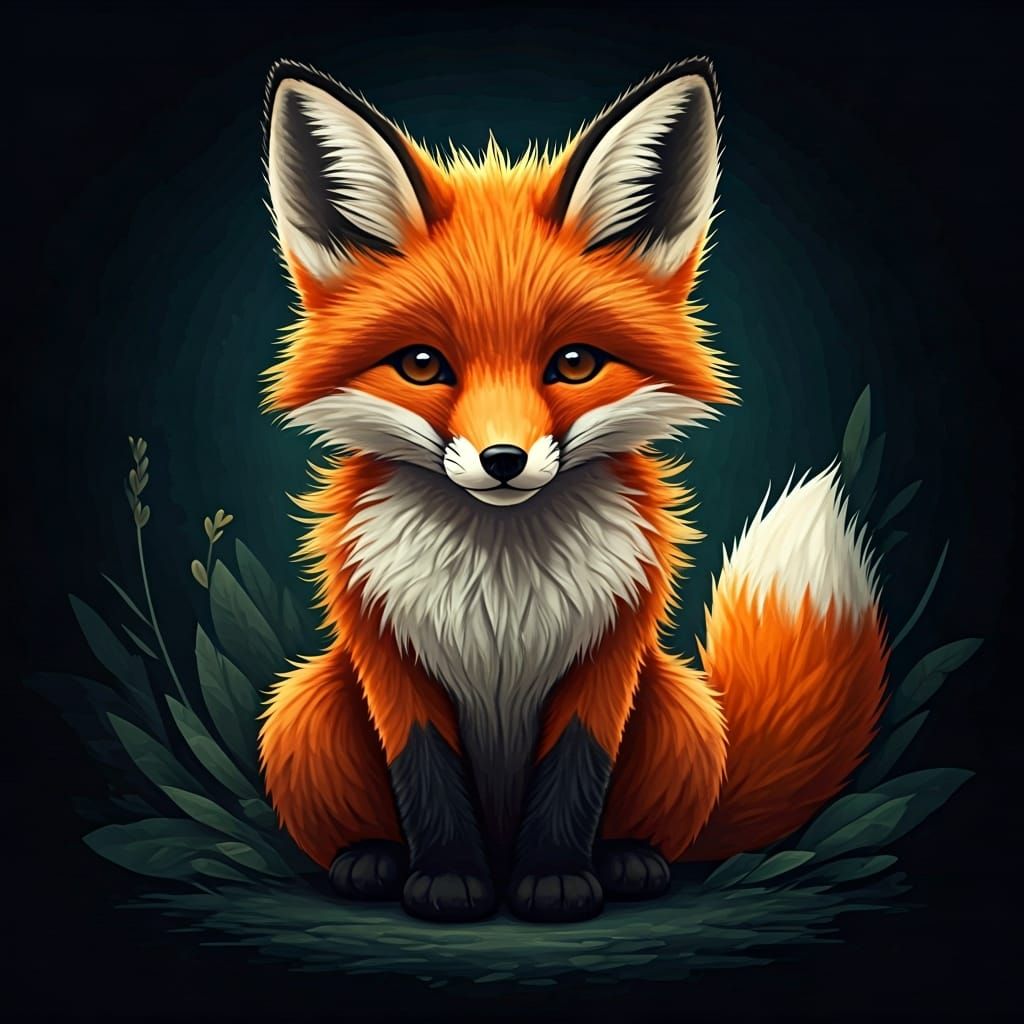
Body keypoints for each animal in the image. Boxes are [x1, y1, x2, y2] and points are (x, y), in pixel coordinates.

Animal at [257, 57, 889, 924]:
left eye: (575, 363)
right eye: (421, 364)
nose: (503, 460)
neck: (497, 583)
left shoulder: (609, 653)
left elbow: (575, 771)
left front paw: (555, 882)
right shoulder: (388, 652)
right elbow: (426, 773)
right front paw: (448, 881)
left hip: (678, 707)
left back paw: (629, 861)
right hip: (305, 704)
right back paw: (371, 860)